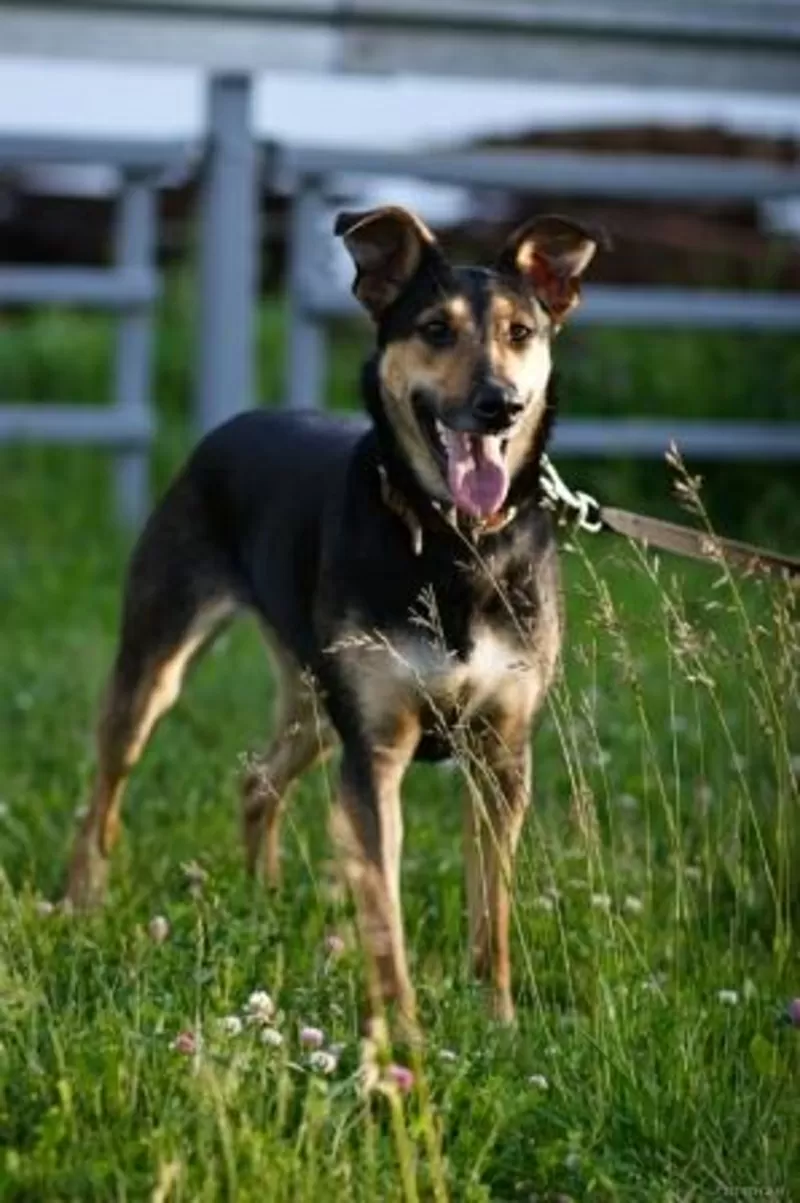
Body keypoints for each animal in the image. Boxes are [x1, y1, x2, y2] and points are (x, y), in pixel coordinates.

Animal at [64, 209, 599, 1044]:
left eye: (521, 332)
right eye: (435, 329)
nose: (501, 404)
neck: (453, 543)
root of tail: (237, 421)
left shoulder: (501, 755)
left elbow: (494, 914)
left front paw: (499, 1021)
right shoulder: (373, 751)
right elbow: (384, 913)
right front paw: (402, 1038)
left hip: (319, 699)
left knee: (257, 780)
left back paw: (263, 901)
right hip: (160, 661)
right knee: (106, 784)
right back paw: (81, 895)